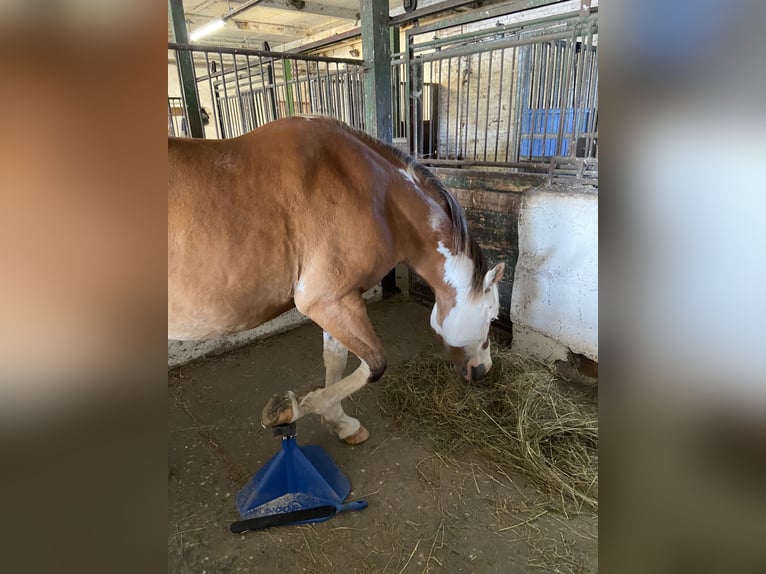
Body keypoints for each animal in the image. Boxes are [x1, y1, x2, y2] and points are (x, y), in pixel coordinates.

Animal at [168, 116, 505, 445]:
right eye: (492, 316)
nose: (483, 370)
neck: (375, 194)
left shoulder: (338, 301)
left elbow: (336, 360)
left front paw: (340, 424)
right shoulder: (328, 301)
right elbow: (374, 364)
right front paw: (287, 409)